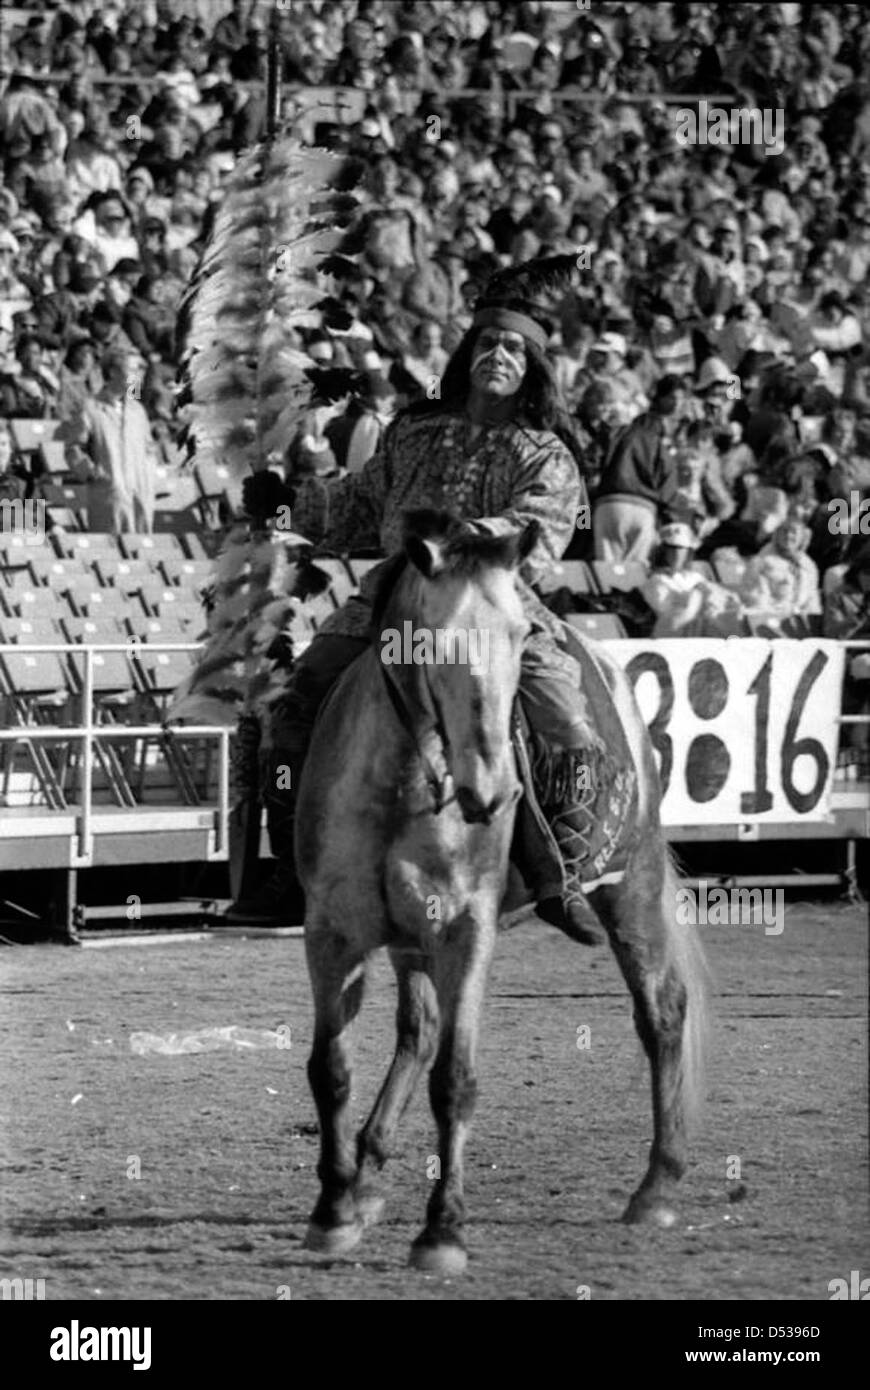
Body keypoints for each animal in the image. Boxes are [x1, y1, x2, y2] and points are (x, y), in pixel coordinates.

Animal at [294, 508, 708, 1273]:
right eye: (432, 641)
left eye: (519, 636)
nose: (491, 790)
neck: (405, 786)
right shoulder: (332, 933)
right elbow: (330, 1068)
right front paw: (333, 1210)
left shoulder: (466, 931)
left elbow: (455, 1081)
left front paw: (443, 1231)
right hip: (409, 941)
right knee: (417, 1033)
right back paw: (365, 1179)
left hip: (630, 884)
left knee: (662, 1010)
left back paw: (657, 1187)